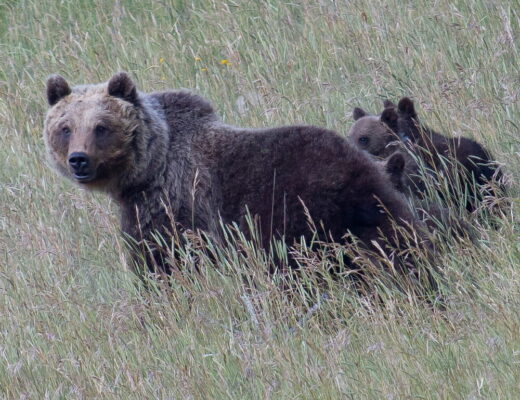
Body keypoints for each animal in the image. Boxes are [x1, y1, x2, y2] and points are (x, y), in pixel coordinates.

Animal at [43, 72, 426, 276]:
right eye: (65, 127)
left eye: (101, 127)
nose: (79, 160)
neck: (152, 167)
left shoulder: (173, 205)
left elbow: (164, 260)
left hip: (300, 209)